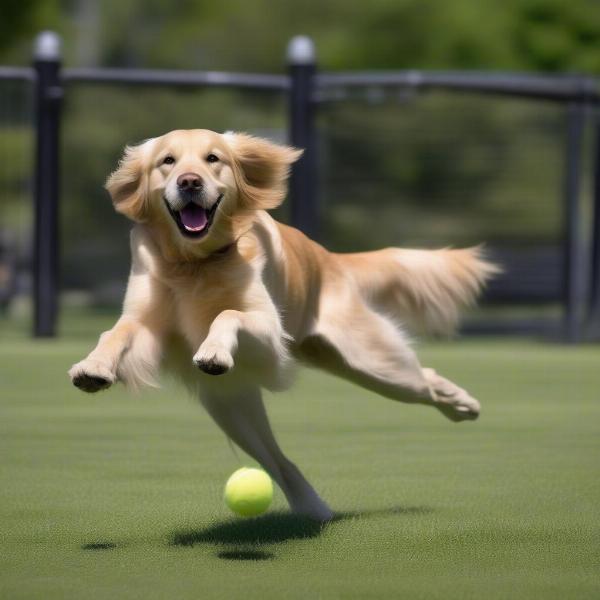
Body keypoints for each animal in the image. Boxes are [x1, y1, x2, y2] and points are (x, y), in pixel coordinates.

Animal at [68, 130, 496, 520]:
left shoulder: (269, 333)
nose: (189, 182)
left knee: (424, 378)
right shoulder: (147, 324)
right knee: (276, 457)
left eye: (212, 159)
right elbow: (116, 332)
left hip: (375, 364)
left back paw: (462, 403)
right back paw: (313, 508)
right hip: (231, 406)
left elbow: (227, 314)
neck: (195, 263)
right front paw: (93, 367)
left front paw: (213, 349)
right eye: (167, 161)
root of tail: (330, 259)